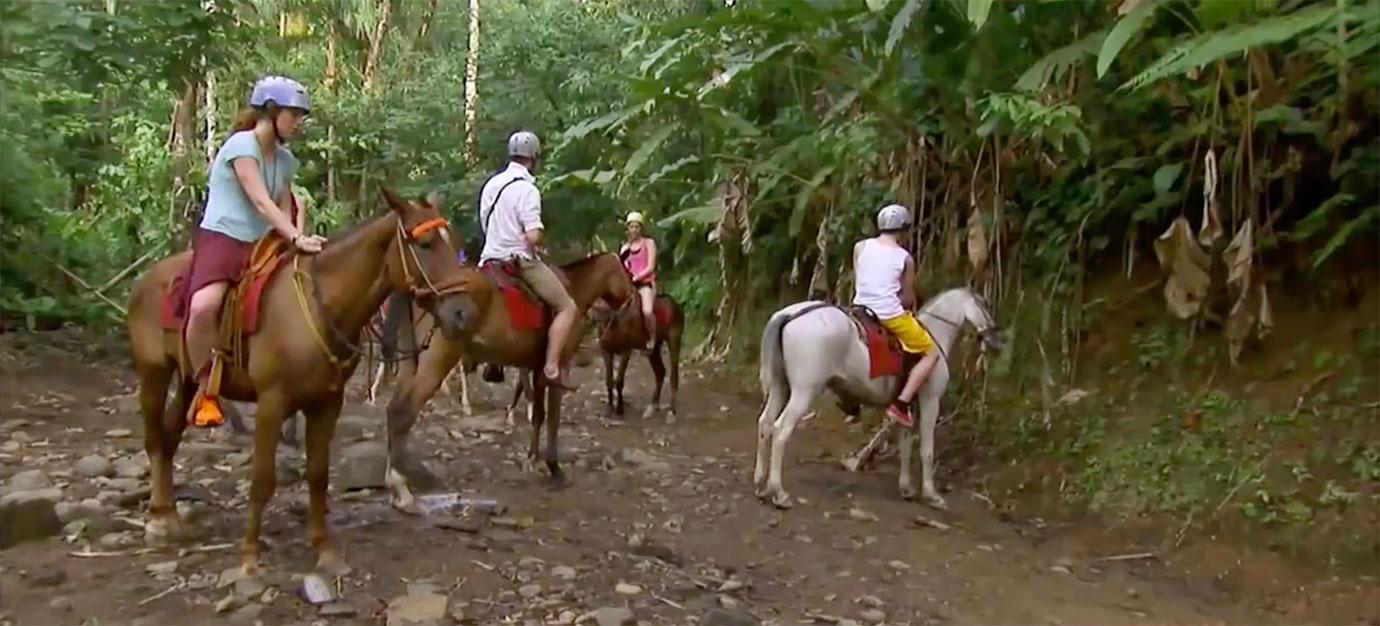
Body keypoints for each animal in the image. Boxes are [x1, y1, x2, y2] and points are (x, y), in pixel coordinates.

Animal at [125, 188, 469, 579]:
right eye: (424, 244)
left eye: (453, 243)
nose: (462, 313)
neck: (323, 308)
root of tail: (146, 279)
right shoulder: (272, 403)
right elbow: (262, 479)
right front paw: (249, 557)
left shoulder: (327, 402)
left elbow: (318, 474)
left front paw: (325, 550)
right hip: (153, 372)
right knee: (155, 440)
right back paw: (157, 522)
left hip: (186, 382)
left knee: (169, 440)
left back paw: (168, 515)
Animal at [380, 252, 632, 507]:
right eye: (626, 273)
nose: (629, 300)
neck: (574, 289)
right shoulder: (559, 368)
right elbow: (553, 419)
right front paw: (554, 468)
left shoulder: (537, 370)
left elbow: (538, 415)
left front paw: (532, 458)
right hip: (437, 359)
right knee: (404, 409)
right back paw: (399, 484)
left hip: (410, 360)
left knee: (394, 408)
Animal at [756, 288, 1004, 507]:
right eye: (984, 304)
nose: (996, 341)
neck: (935, 334)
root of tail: (789, 315)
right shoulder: (929, 402)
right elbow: (926, 450)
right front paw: (932, 495)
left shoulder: (908, 407)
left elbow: (906, 444)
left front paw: (906, 488)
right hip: (804, 391)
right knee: (780, 431)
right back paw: (779, 493)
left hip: (781, 387)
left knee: (765, 424)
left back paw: (760, 485)